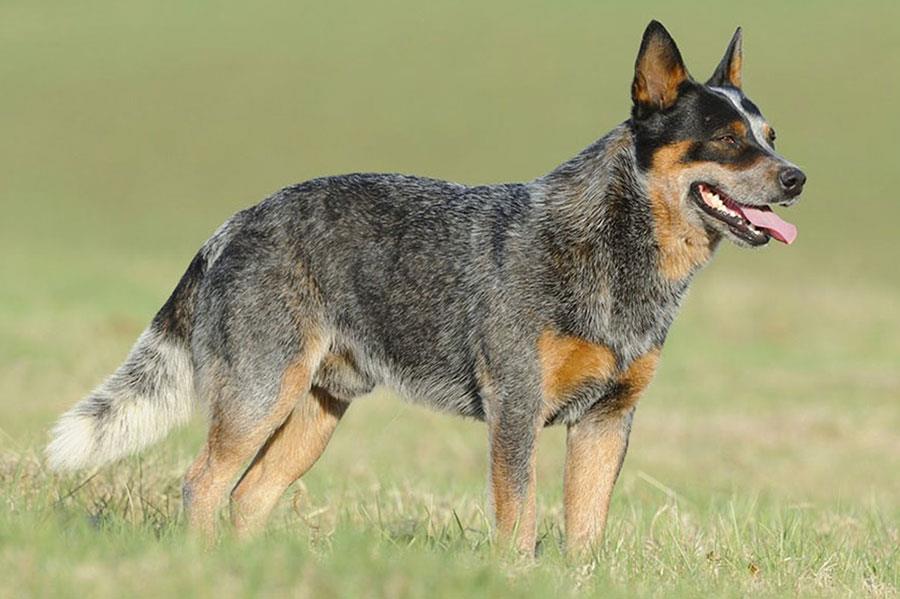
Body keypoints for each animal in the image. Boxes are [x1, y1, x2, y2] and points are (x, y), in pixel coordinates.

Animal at [47, 22, 808, 556]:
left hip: (316, 415)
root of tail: (232, 223)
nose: (797, 176)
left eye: (770, 135)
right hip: (259, 398)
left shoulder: (607, 420)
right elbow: (519, 525)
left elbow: (584, 539)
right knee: (202, 485)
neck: (617, 254)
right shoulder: (516, 409)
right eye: (728, 138)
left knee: (248, 499)